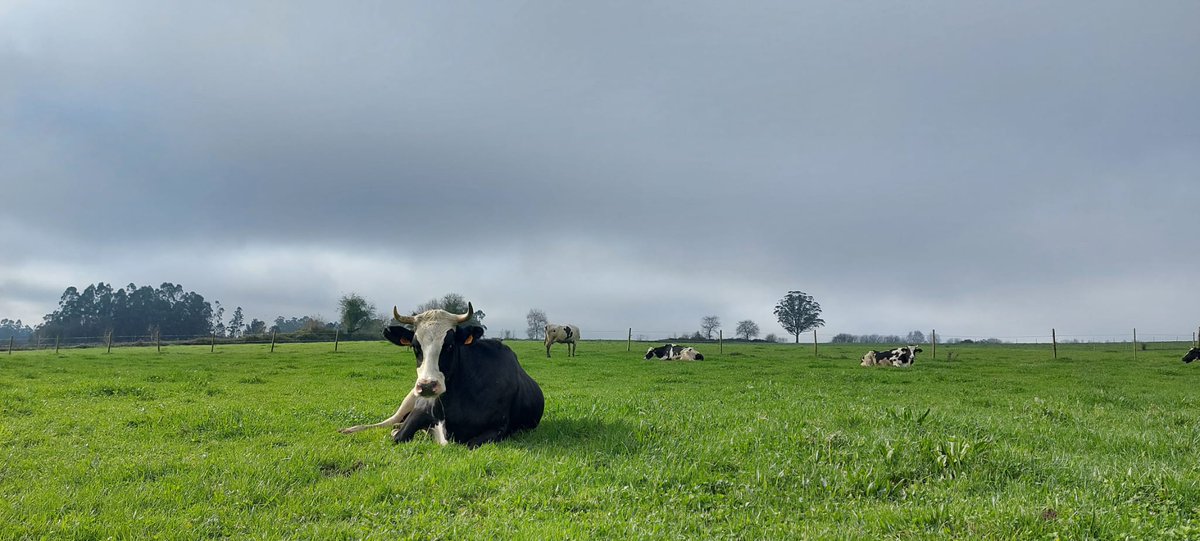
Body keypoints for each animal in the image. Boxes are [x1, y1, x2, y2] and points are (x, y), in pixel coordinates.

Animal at [338, 303, 544, 448]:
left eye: (450, 345)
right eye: (415, 346)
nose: (427, 386)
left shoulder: (498, 428)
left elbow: (468, 444)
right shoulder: (419, 411)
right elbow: (398, 437)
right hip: (409, 399)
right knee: (387, 422)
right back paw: (350, 429)